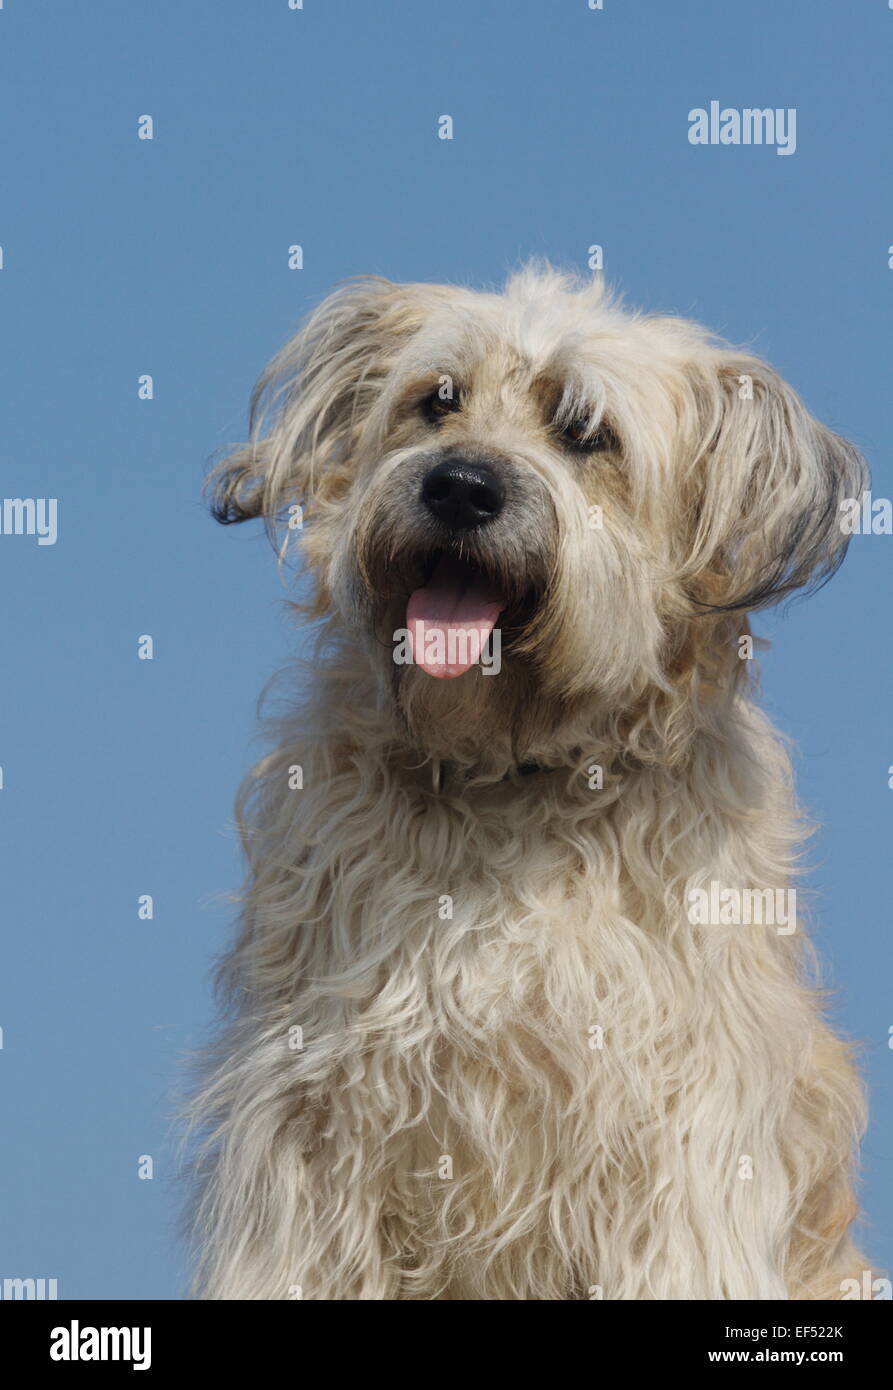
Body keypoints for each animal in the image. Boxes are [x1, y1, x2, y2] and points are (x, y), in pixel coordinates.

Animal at [191, 265, 867, 1295]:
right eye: (436, 401)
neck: (514, 776)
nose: (460, 486)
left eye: (585, 432)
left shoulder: (683, 1149)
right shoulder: (310, 1138)